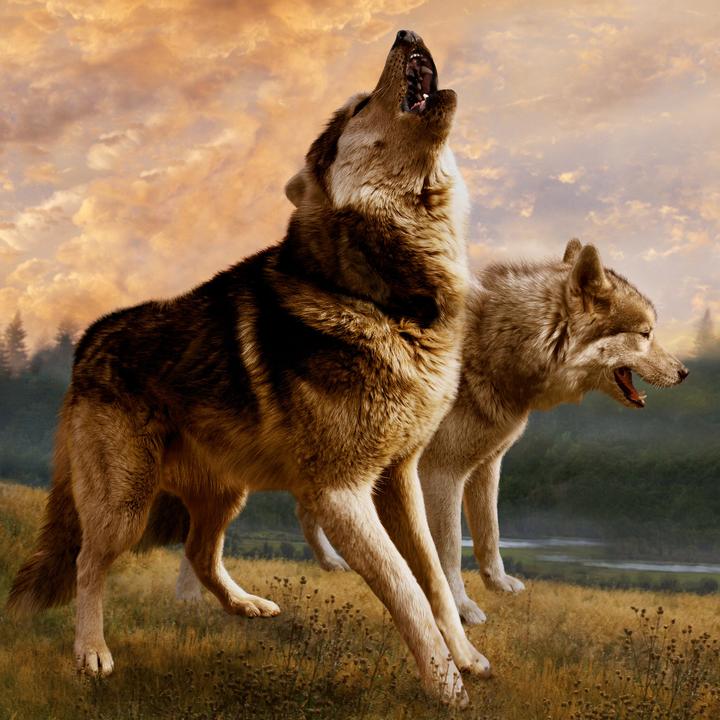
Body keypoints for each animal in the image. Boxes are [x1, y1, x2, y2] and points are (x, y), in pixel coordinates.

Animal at [7, 30, 489, 703]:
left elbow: (437, 581)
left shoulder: (399, 477)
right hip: (125, 507)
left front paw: (467, 658)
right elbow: (407, 593)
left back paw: (245, 606)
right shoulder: (342, 496)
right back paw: (92, 652)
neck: (389, 301)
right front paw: (447, 689)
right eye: (361, 105)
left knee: (199, 554)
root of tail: (89, 337)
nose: (405, 34)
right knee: (87, 565)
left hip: (225, 493)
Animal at [290, 239, 689, 624]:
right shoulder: (441, 475)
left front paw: (498, 584)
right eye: (646, 333)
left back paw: (331, 564)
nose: (685, 372)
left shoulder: (487, 465)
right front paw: (461, 608)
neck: (493, 350)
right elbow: (448, 551)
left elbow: (489, 533)